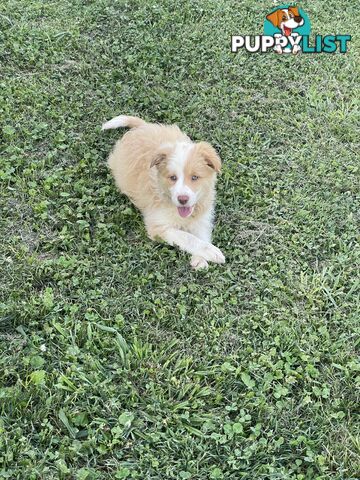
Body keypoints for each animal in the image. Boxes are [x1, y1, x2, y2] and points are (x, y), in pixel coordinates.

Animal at [102, 114, 225, 268]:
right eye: (173, 178)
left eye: (195, 177)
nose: (182, 199)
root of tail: (143, 126)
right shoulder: (158, 227)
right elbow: (186, 237)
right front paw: (212, 252)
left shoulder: (202, 218)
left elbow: (201, 235)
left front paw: (200, 258)